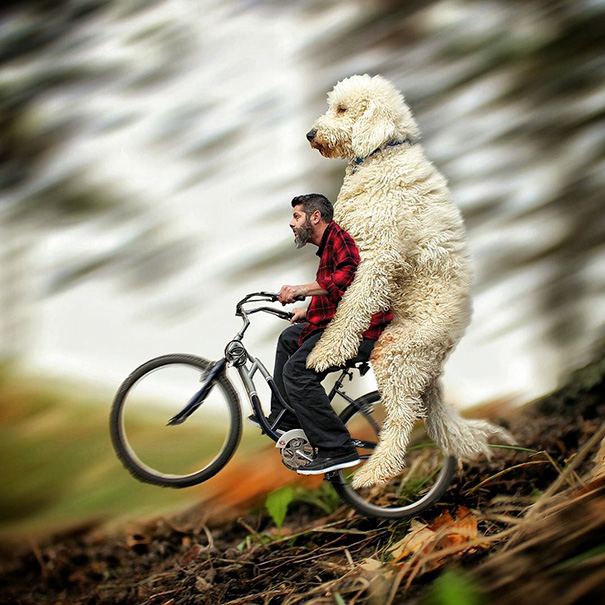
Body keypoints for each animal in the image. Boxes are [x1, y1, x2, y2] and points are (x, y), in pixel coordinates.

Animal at [306, 73, 510, 486]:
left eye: (342, 109)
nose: (311, 134)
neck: (381, 154)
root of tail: (440, 360)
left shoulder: (377, 257)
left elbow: (351, 308)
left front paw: (326, 352)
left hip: (396, 353)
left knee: (401, 422)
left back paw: (373, 472)